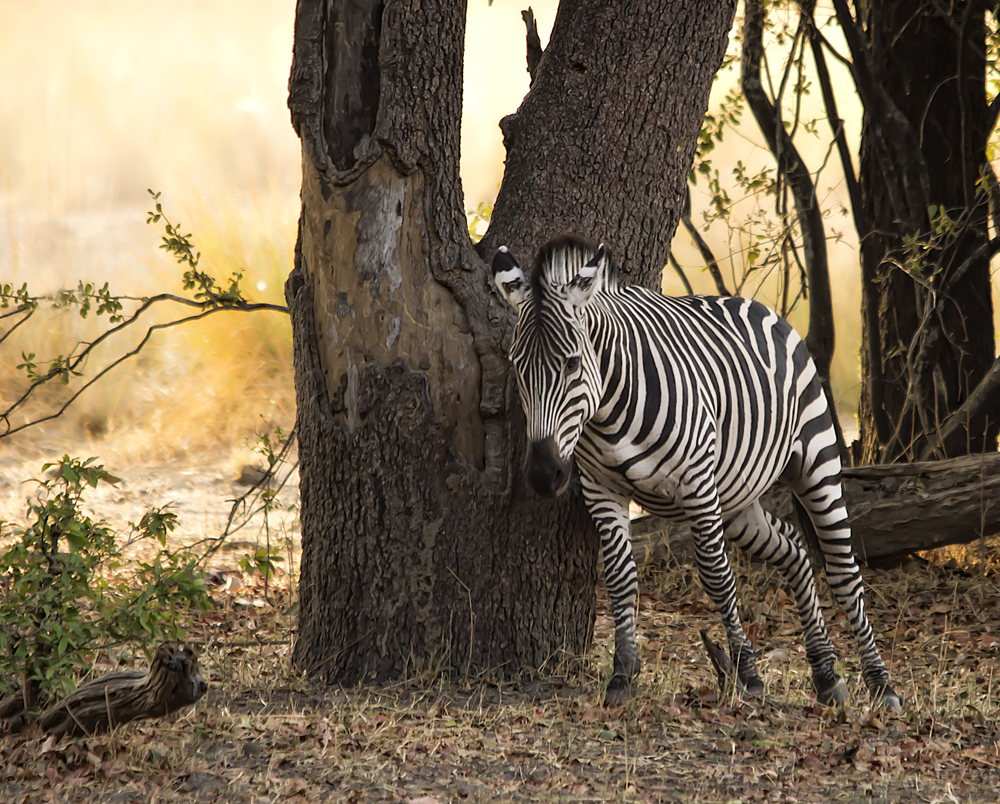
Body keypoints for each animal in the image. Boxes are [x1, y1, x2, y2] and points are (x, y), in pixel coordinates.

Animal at [490, 234, 900, 708]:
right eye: (518, 366)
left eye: (573, 363)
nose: (543, 475)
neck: (608, 411)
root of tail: (756, 305)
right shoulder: (602, 488)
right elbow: (620, 577)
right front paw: (622, 674)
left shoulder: (697, 484)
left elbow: (717, 576)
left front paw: (748, 674)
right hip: (738, 499)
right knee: (794, 548)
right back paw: (826, 673)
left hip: (816, 460)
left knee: (843, 571)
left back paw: (881, 683)